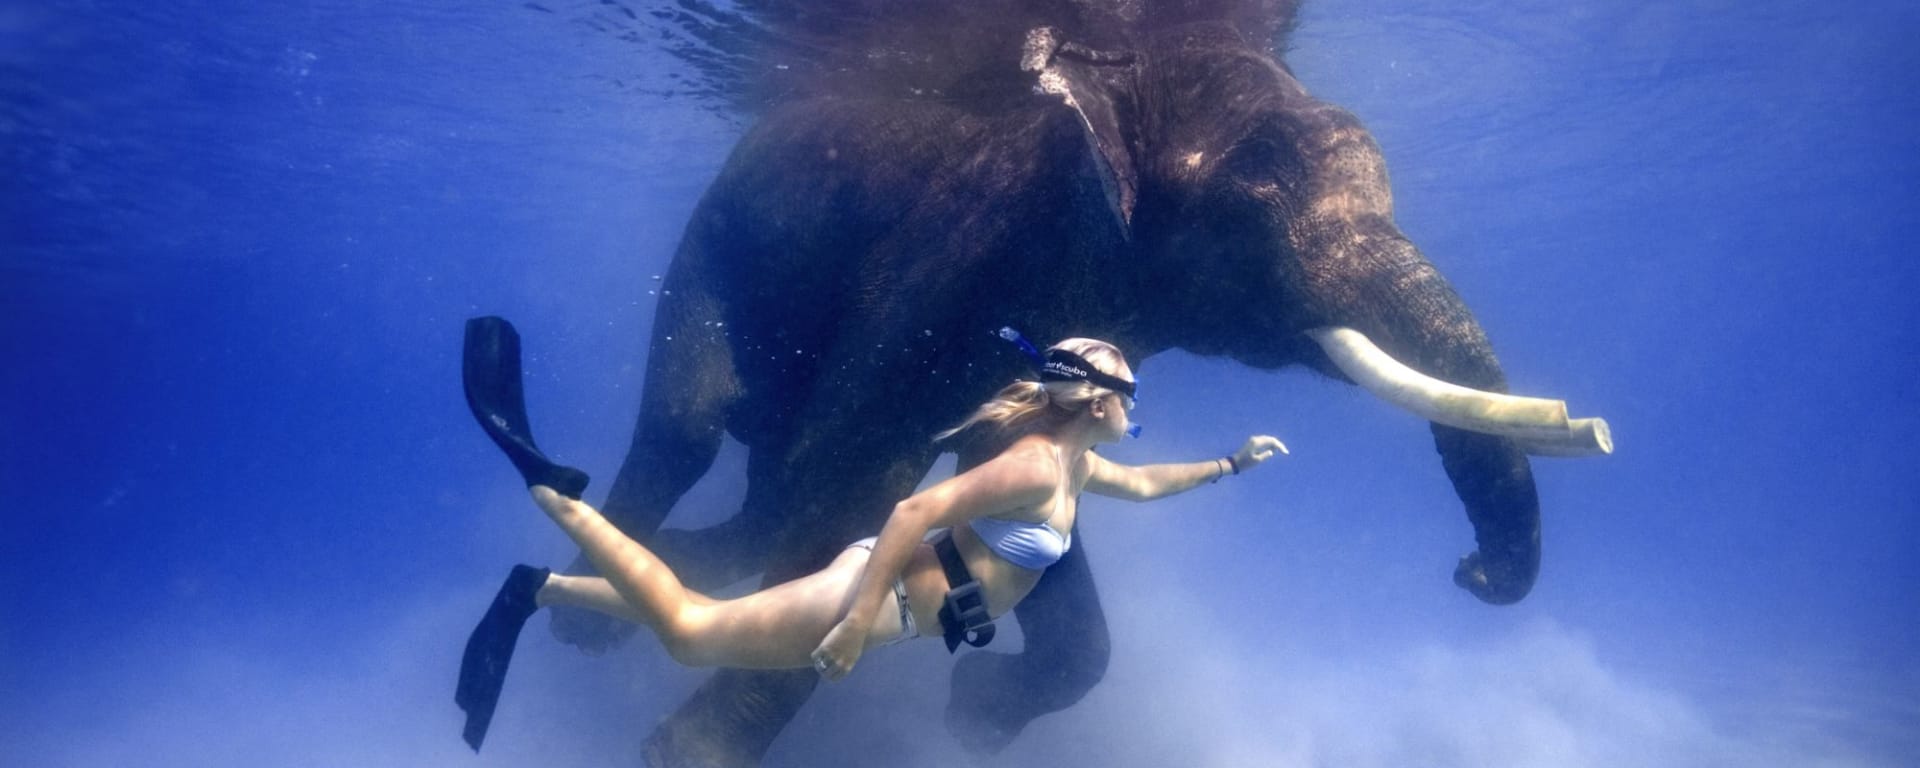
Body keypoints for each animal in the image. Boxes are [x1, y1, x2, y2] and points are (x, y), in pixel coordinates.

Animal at [552, 3, 1605, 764]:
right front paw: (688, 757)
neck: (1115, 96)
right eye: (1248, 211)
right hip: (711, 245)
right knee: (692, 430)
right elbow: (856, 466)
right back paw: (580, 628)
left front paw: (973, 718)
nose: (1471, 574)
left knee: (762, 489)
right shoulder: (960, 255)